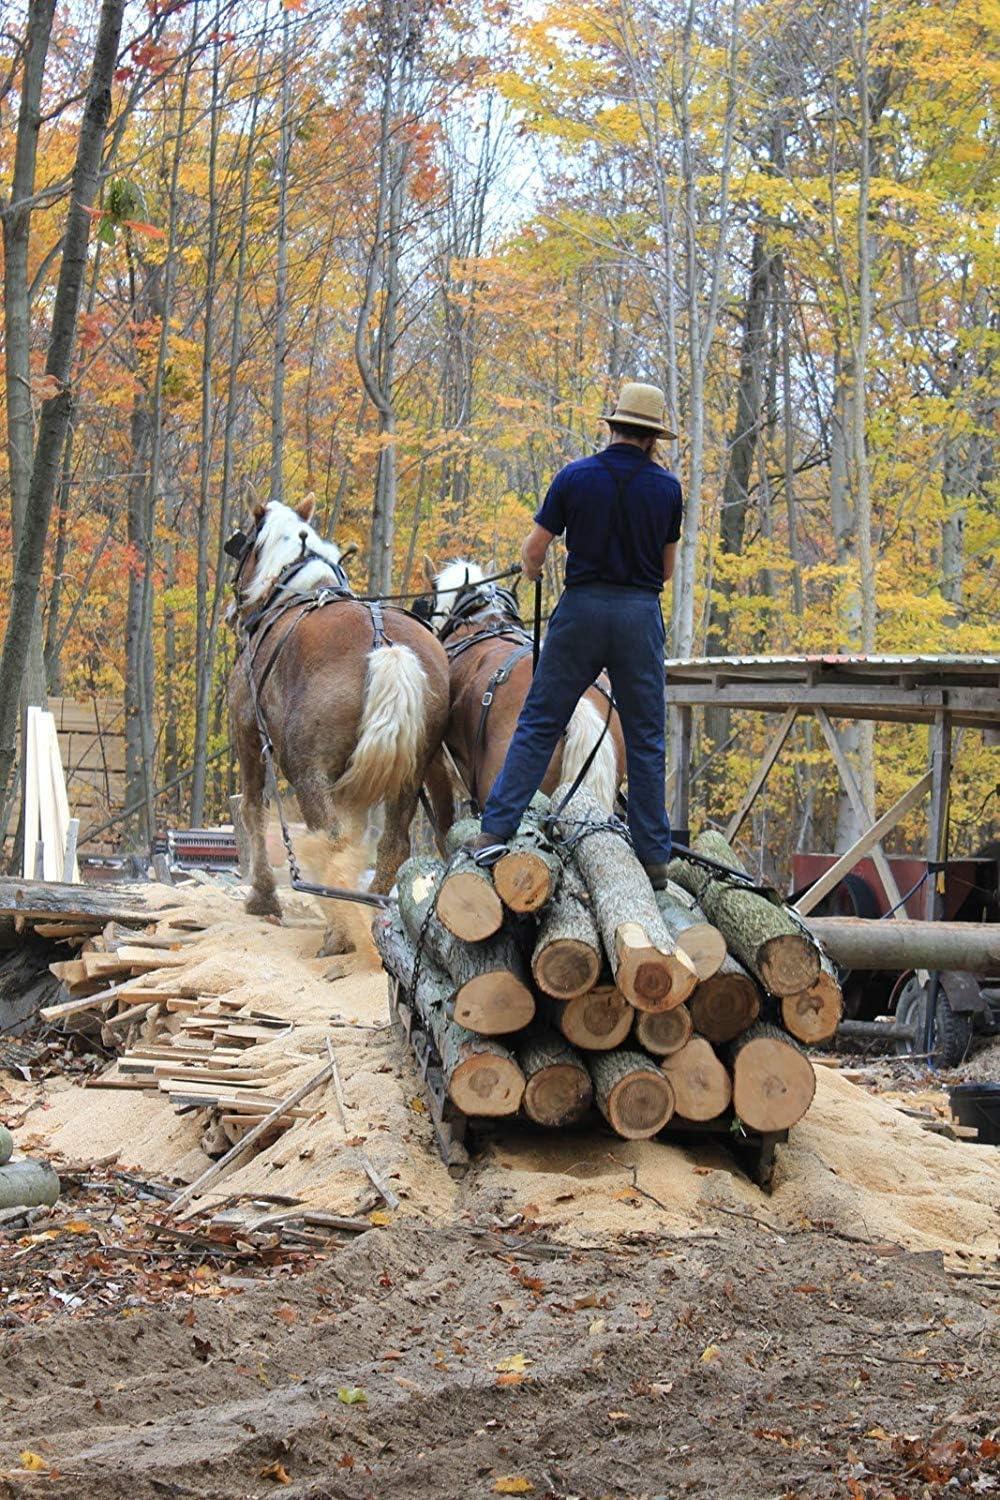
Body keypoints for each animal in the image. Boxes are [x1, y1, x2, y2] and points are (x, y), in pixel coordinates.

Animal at [229, 498, 452, 954]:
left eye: (243, 546)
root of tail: (387, 647)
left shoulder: (247, 735)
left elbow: (252, 810)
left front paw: (262, 897)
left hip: (308, 771)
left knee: (330, 839)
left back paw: (339, 929)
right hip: (409, 772)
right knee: (391, 845)